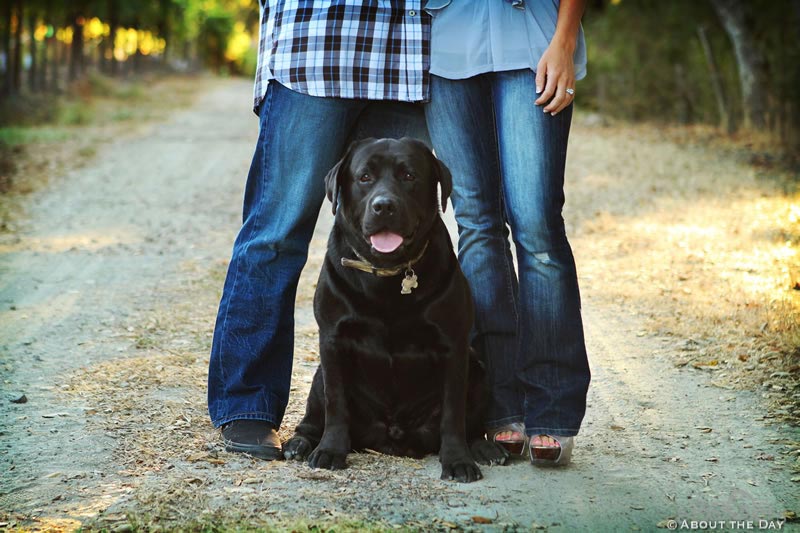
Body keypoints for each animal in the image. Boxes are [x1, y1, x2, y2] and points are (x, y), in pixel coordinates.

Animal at [282, 137, 506, 482]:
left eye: (409, 176)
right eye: (364, 177)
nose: (384, 206)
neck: (387, 275)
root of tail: (393, 436)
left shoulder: (454, 346)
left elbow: (453, 412)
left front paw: (457, 460)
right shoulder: (332, 340)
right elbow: (336, 404)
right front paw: (331, 450)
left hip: (478, 368)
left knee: (469, 423)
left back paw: (483, 447)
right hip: (320, 373)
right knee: (314, 417)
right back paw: (300, 443)